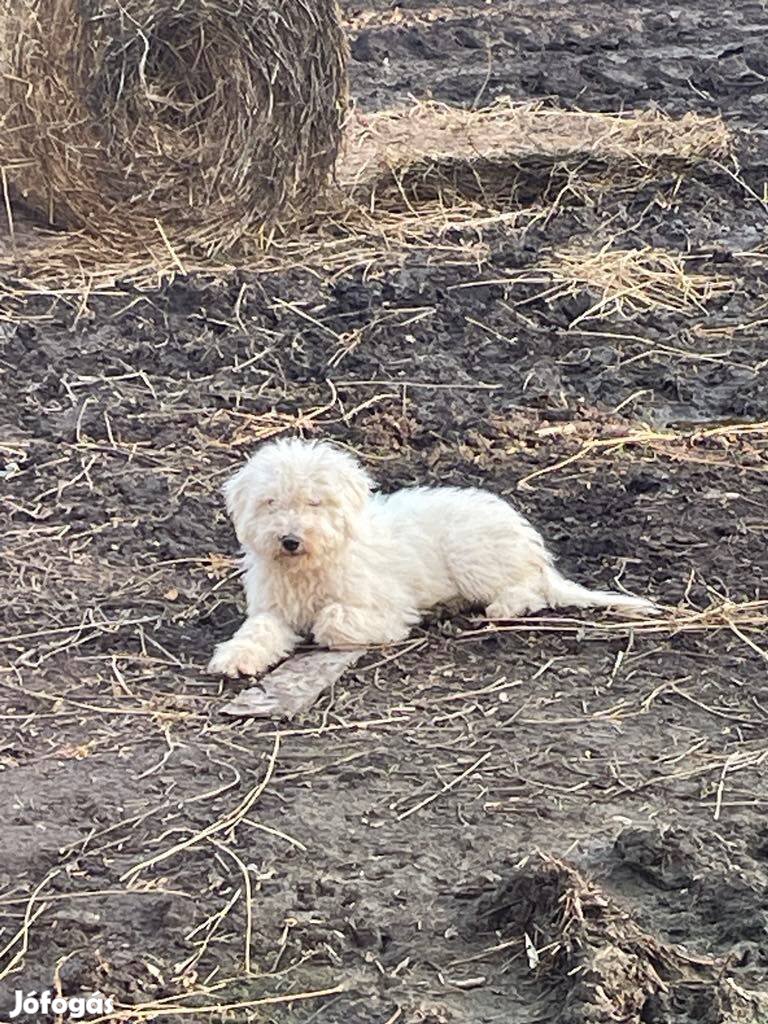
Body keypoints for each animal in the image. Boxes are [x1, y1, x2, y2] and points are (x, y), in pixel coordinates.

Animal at [207, 436, 659, 675]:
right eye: (270, 502)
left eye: (314, 502)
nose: (289, 539)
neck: (308, 567)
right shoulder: (272, 609)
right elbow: (259, 630)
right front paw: (235, 656)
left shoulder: (387, 607)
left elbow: (333, 620)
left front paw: (324, 627)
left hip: (472, 555)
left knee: (531, 589)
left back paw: (505, 604)